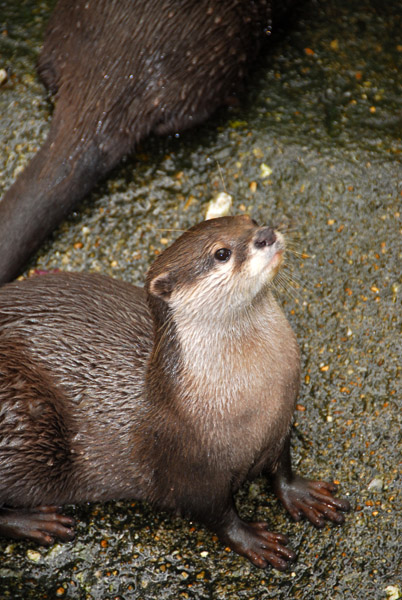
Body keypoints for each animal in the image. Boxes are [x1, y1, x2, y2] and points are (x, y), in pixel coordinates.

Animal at [0, 217, 348, 572]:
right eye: (222, 253)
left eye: (250, 221)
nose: (265, 234)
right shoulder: (192, 471)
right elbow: (217, 516)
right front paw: (253, 540)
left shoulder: (280, 424)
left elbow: (282, 467)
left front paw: (303, 494)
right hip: (20, 427)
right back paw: (37, 522)